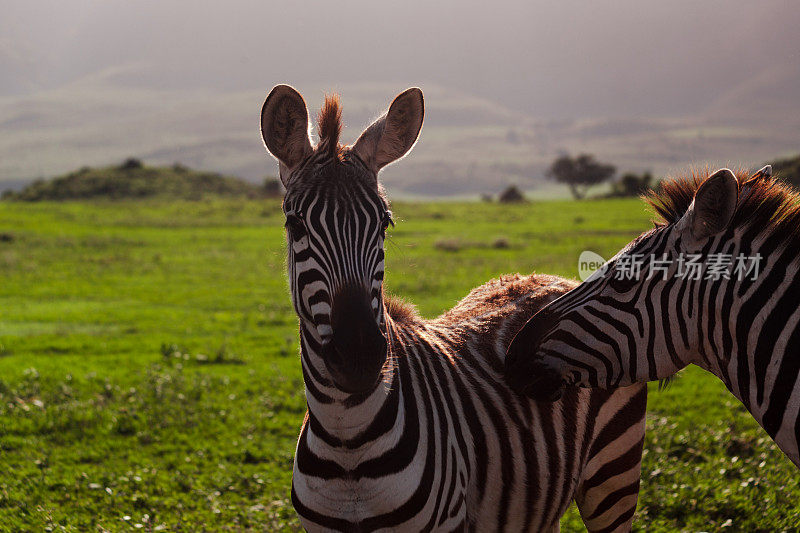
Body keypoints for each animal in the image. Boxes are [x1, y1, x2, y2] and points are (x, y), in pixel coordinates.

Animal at [262, 85, 648, 528]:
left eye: (384, 224)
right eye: (295, 225)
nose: (360, 357)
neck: (347, 439)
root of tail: (550, 277)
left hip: (614, 471)